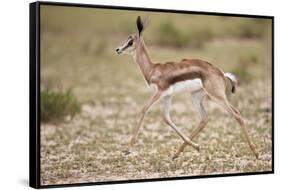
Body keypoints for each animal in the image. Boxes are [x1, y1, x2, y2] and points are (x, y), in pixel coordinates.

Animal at [115, 15, 258, 159]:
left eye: (130, 42)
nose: (118, 50)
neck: (152, 69)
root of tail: (221, 73)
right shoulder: (167, 95)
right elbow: (166, 118)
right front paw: (196, 146)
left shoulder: (159, 92)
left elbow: (143, 109)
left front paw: (128, 149)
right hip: (196, 96)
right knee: (204, 119)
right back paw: (179, 152)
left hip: (217, 96)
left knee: (237, 114)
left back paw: (255, 152)